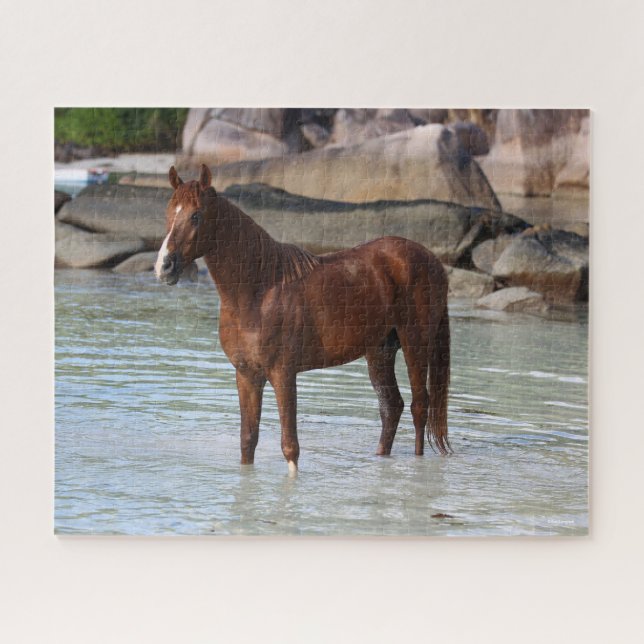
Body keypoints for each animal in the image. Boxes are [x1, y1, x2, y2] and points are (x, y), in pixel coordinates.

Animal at [155, 164, 451, 474]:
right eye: (169, 213)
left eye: (196, 215)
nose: (165, 266)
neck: (260, 290)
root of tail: (432, 260)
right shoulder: (247, 374)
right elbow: (248, 441)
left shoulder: (283, 374)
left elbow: (290, 447)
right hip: (380, 350)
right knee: (391, 407)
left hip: (415, 343)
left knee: (420, 406)